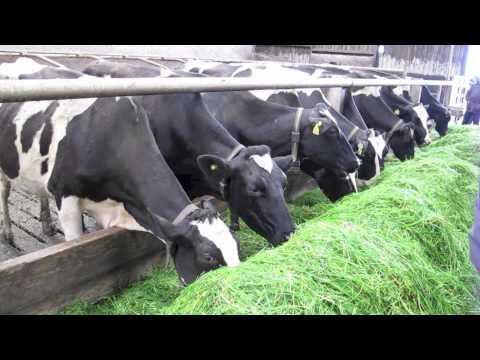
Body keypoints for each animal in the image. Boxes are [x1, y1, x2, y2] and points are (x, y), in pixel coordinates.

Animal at [0, 63, 240, 286]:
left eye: (236, 244)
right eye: (208, 257)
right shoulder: (64, 195)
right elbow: (74, 247)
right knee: (4, 193)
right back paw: (8, 233)